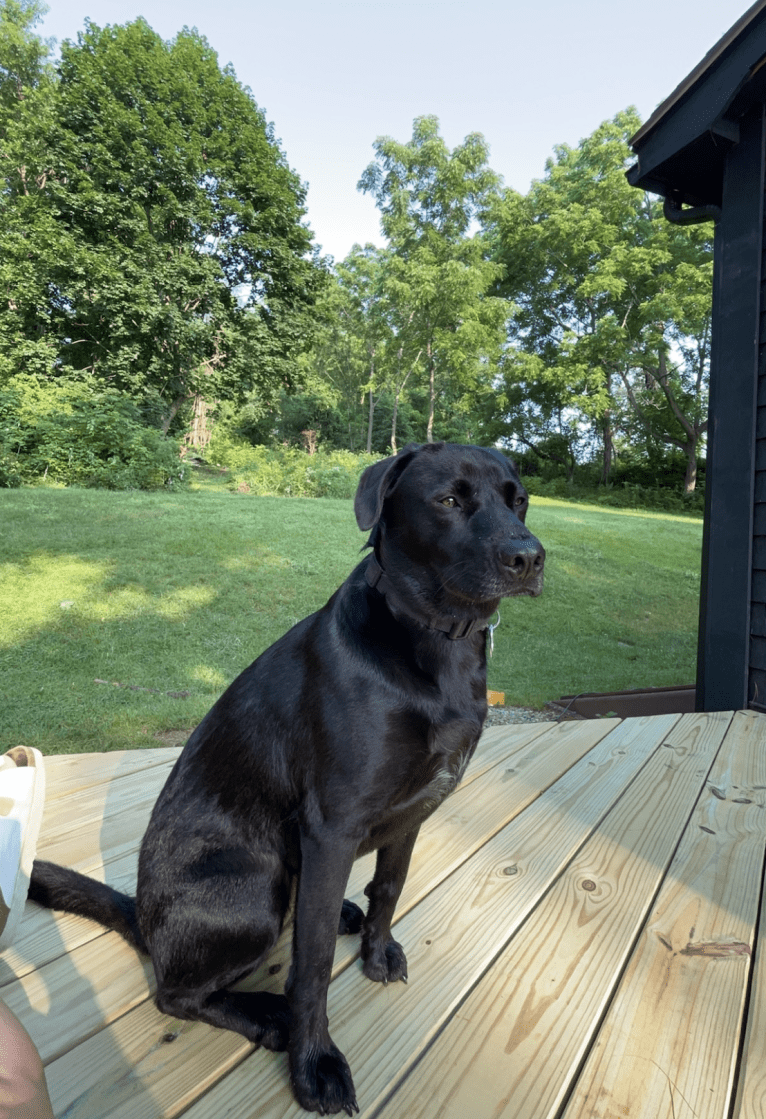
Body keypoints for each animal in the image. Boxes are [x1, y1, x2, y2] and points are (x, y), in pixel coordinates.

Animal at [28, 440, 543, 1114]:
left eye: (520, 499)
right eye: (449, 500)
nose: (529, 557)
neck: (432, 640)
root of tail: (142, 914)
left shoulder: (414, 811)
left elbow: (390, 888)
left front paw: (375, 951)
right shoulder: (332, 827)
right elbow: (313, 965)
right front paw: (314, 1063)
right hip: (257, 887)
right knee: (174, 995)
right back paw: (263, 1017)